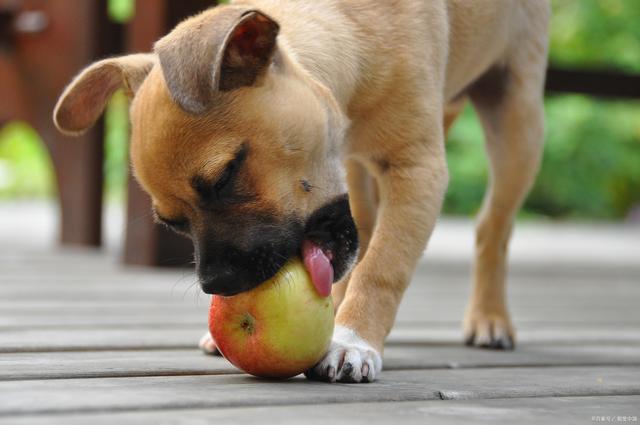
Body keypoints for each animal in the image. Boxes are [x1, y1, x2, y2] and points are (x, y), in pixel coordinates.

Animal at [53, 0, 552, 382]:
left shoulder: (418, 170)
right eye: (172, 223)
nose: (216, 285)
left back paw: (489, 319)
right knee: (365, 230)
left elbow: (384, 267)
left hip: (519, 125)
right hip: (362, 173)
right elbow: (364, 254)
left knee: (492, 227)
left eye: (226, 176)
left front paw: (353, 340)